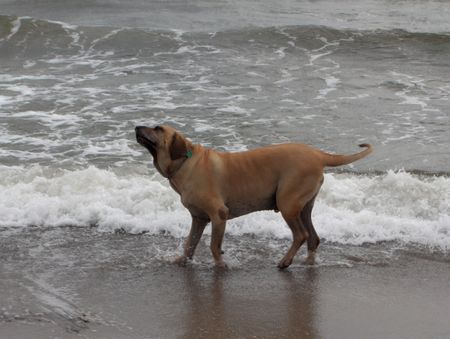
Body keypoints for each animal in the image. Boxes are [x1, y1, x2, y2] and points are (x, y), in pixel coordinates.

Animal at [134, 126, 372, 270]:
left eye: (158, 128)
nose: (137, 127)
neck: (184, 162)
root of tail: (318, 154)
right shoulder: (199, 218)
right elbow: (190, 244)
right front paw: (182, 261)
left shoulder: (219, 215)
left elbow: (213, 245)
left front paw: (221, 265)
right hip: (304, 207)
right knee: (313, 237)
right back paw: (307, 263)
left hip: (287, 203)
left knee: (301, 235)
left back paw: (286, 261)